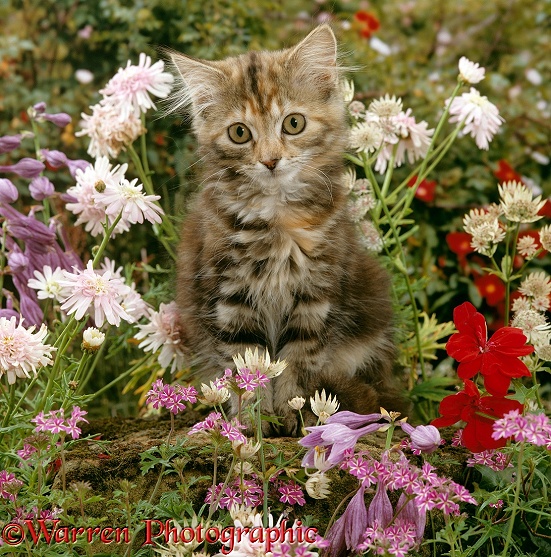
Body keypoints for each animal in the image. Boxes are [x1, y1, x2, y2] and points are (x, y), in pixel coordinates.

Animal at [167, 25, 406, 434]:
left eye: (293, 124)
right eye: (239, 133)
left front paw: (293, 412)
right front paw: (253, 421)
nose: (270, 160)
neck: (277, 220)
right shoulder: (230, 298)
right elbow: (248, 366)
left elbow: (297, 362)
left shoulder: (316, 296)